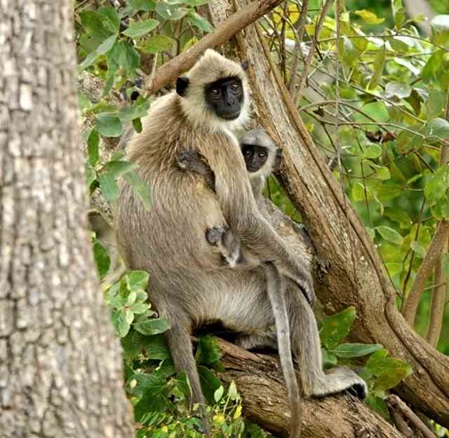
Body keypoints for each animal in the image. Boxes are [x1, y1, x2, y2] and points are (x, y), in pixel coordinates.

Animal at [116, 49, 368, 436]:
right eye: (216, 92)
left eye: (233, 86)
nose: (232, 101)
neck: (183, 111)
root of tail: (165, 297)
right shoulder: (218, 139)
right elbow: (244, 217)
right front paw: (303, 277)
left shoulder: (161, 109)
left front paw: (135, 90)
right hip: (223, 293)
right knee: (288, 295)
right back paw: (317, 383)